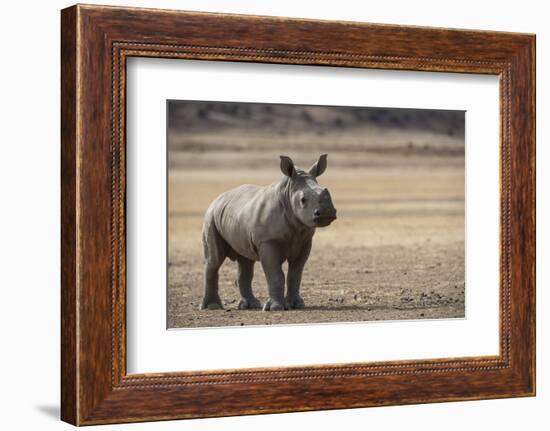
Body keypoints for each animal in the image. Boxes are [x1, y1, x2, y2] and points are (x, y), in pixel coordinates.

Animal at [202, 154, 336, 312]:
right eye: (303, 200)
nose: (327, 213)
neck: (287, 193)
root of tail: (218, 198)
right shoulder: (268, 241)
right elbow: (275, 274)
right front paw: (276, 307)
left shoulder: (305, 241)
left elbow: (296, 274)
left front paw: (297, 305)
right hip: (211, 217)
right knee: (214, 260)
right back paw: (212, 306)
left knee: (245, 260)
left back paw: (251, 305)